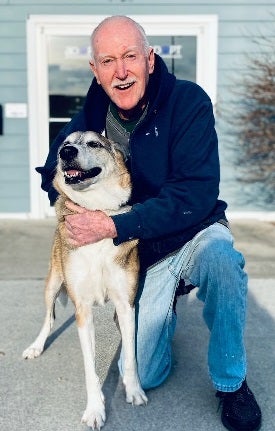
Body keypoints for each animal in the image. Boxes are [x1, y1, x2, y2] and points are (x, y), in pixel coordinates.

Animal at [23, 131, 149, 428]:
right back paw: (36, 346)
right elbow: (90, 369)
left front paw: (134, 389)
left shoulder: (126, 305)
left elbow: (131, 355)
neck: (96, 209)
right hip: (52, 283)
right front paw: (95, 409)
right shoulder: (82, 310)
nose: (66, 152)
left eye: (94, 143)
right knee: (49, 318)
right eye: (63, 144)